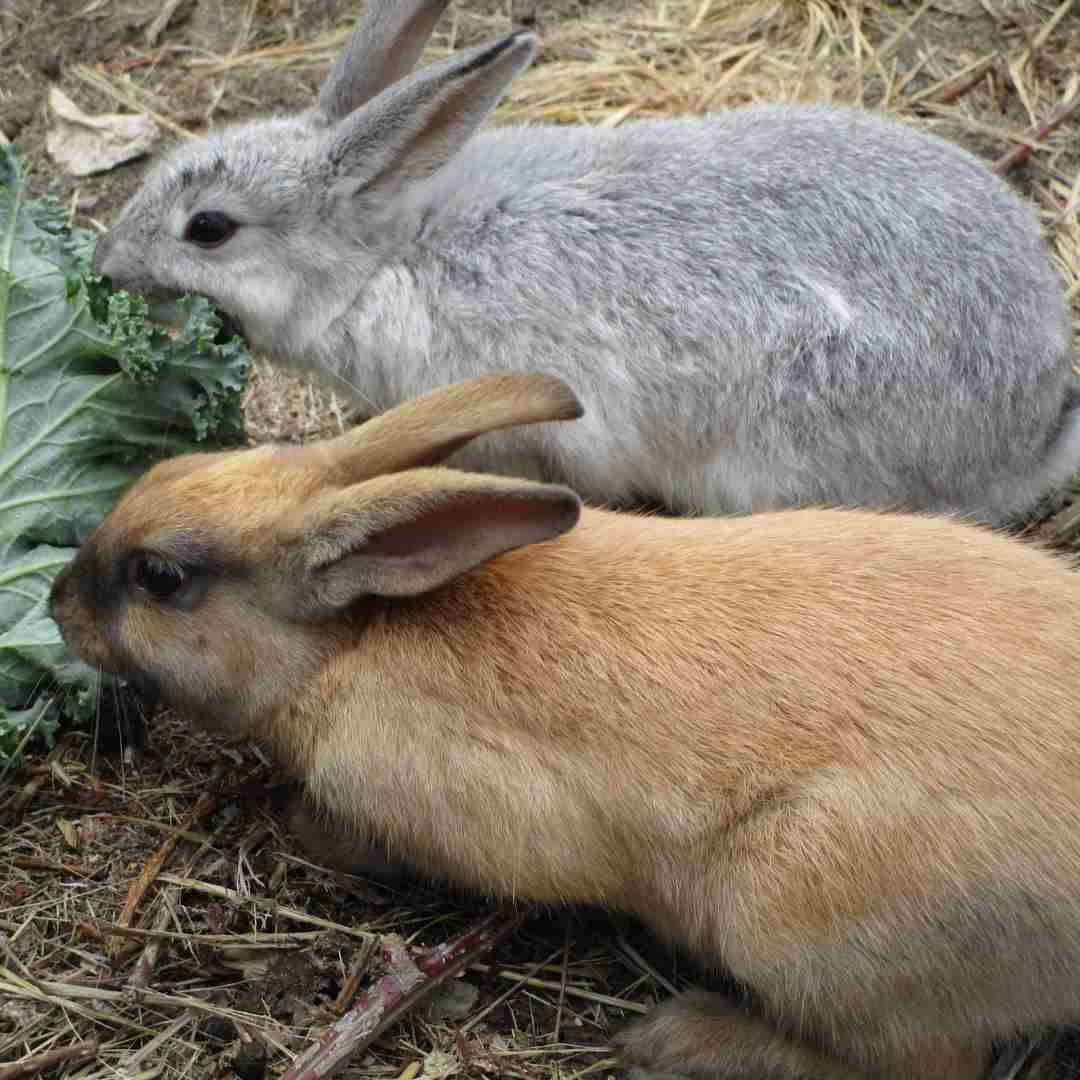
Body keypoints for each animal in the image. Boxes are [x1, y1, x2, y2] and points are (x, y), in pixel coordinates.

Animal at [48, 373, 1080, 1080]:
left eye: (160, 579)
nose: (59, 606)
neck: (354, 641)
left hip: (791, 915)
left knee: (925, 1063)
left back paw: (679, 1038)